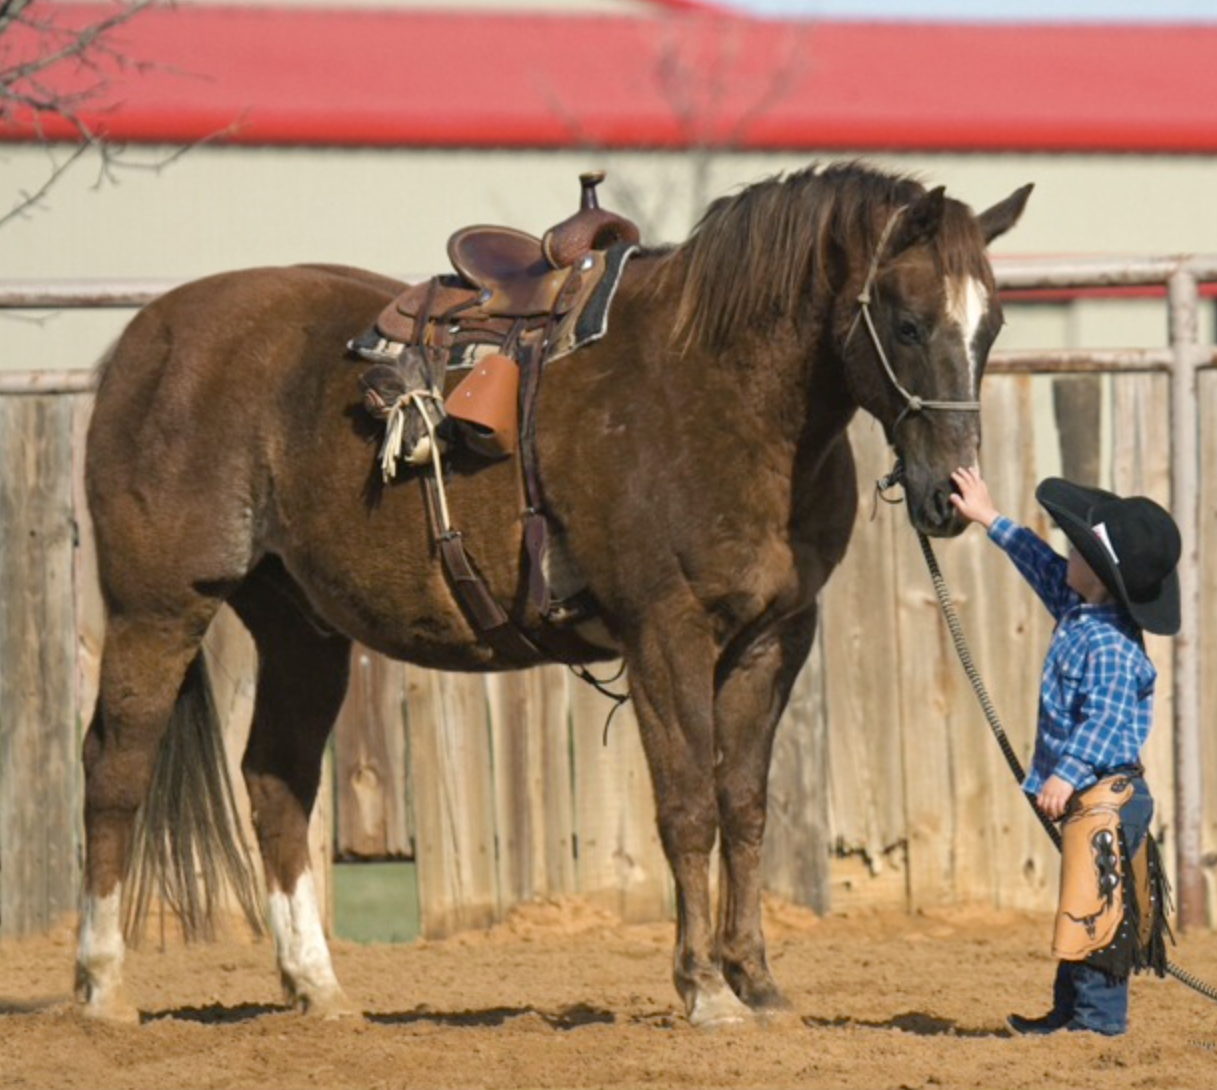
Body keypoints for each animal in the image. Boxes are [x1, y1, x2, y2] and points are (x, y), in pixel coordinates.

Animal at [76, 161, 1031, 1026]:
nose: (950, 494)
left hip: (300, 630)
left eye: (989, 327)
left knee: (275, 783)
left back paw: (318, 989)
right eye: (906, 323)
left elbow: (744, 806)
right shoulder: (664, 634)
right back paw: (102, 986)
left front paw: (756, 982)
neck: (714, 389)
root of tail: (146, 338)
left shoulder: (772, 639)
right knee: (115, 766)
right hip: (160, 609)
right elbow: (688, 807)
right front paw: (704, 989)